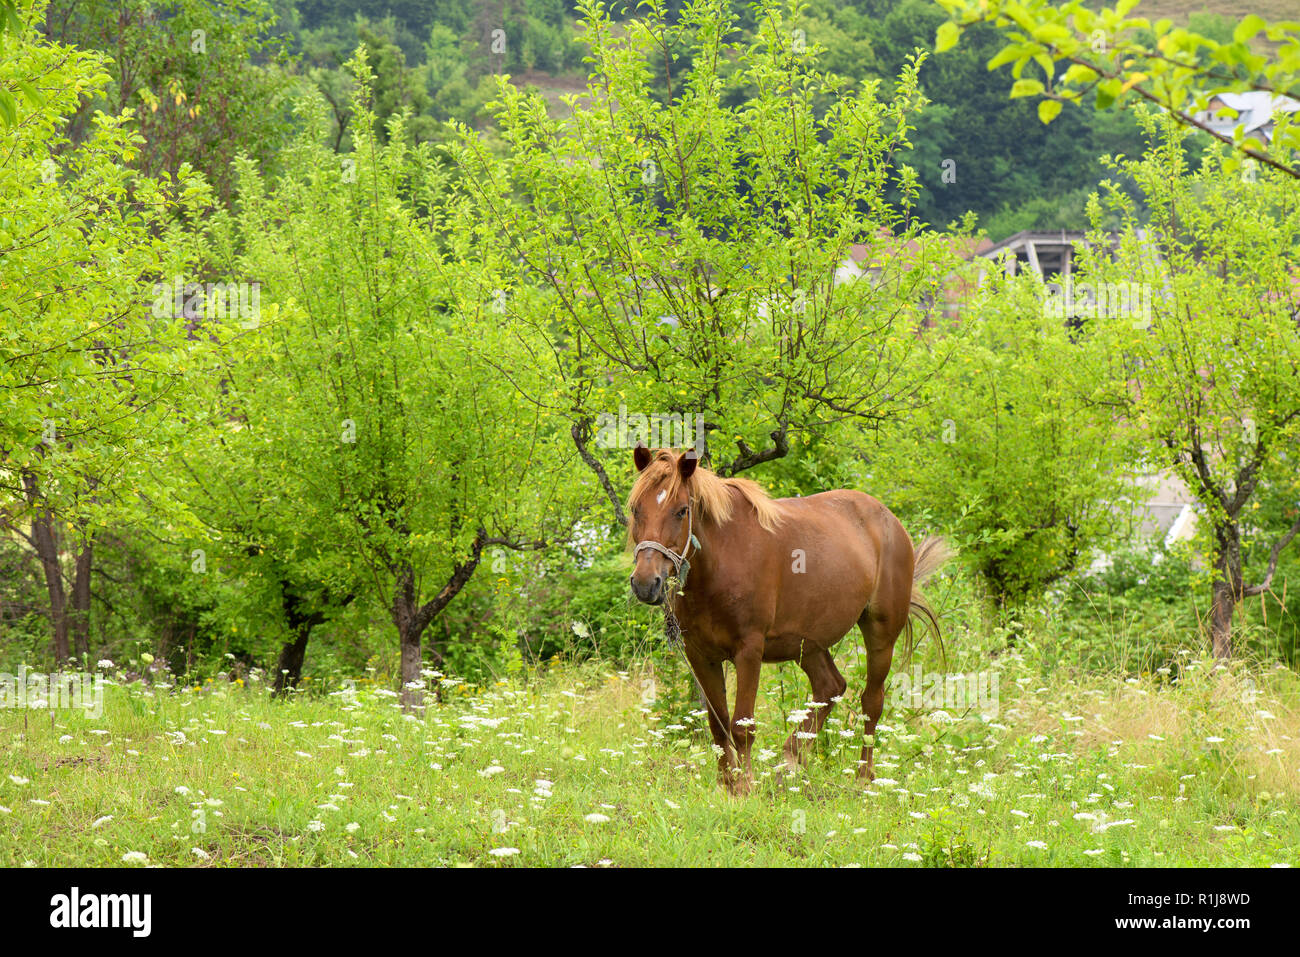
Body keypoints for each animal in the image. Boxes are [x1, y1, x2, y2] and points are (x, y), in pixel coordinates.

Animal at [626, 445, 950, 794]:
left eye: (682, 510)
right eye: (636, 509)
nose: (645, 582)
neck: (721, 562)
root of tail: (890, 520)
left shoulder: (749, 650)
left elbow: (742, 726)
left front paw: (743, 788)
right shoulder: (701, 655)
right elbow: (718, 724)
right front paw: (726, 785)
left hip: (880, 634)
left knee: (871, 703)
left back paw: (864, 776)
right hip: (807, 643)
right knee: (830, 686)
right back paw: (789, 764)